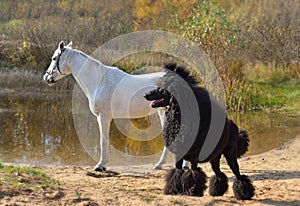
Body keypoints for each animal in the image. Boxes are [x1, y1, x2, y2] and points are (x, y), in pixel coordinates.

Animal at [43, 40, 188, 171]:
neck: (99, 81)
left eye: (54, 58)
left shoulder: (104, 117)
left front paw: (100, 165)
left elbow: (103, 141)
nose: (46, 77)